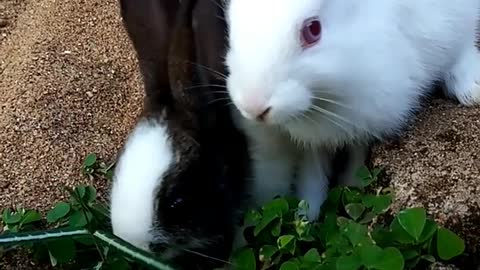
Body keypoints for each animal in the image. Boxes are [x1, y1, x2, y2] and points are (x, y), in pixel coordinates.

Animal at [223, 0, 480, 219]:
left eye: (313, 29)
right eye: (232, 25)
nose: (253, 106)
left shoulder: (367, 116)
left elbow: (357, 156)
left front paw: (351, 191)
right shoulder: (315, 139)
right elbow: (312, 173)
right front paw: (307, 218)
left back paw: (470, 89)